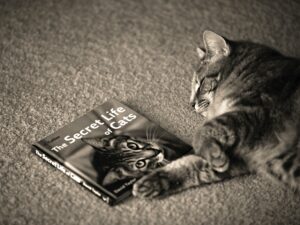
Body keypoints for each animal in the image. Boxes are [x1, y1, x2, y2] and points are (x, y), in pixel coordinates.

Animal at [132, 29, 300, 199]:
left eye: (200, 84)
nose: (191, 104)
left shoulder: (256, 110)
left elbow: (204, 131)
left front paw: (214, 156)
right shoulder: (241, 155)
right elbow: (190, 166)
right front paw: (153, 181)